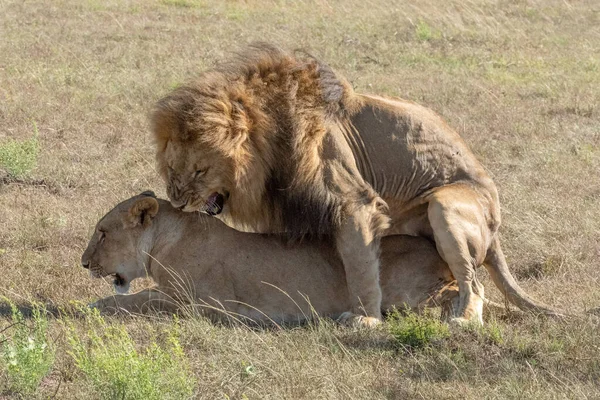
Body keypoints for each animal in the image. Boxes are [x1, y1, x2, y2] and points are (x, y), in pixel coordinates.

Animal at [82, 192, 478, 324]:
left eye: (102, 232)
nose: (84, 263)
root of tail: (434, 250)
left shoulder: (202, 304)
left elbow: (139, 300)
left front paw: (93, 306)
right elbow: (140, 296)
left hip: (409, 293)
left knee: (464, 292)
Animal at [151, 43, 564, 324]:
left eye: (200, 171)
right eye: (171, 170)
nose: (178, 201)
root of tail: (496, 232)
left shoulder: (354, 201)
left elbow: (360, 265)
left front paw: (365, 318)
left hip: (445, 206)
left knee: (473, 284)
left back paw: (461, 320)